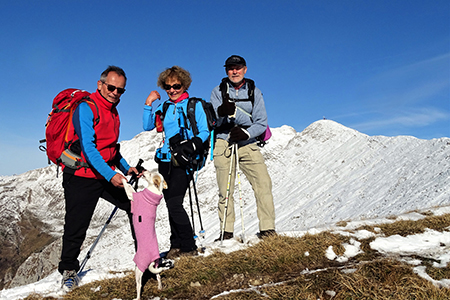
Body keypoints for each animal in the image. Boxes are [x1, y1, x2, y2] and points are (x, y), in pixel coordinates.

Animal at [122, 170, 173, 298]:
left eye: (150, 174)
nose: (143, 171)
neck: (155, 190)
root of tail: (152, 258)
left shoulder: (133, 195)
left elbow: (128, 187)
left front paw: (123, 179)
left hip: (138, 269)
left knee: (139, 285)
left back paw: (137, 297)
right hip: (156, 266)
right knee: (158, 276)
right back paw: (160, 287)